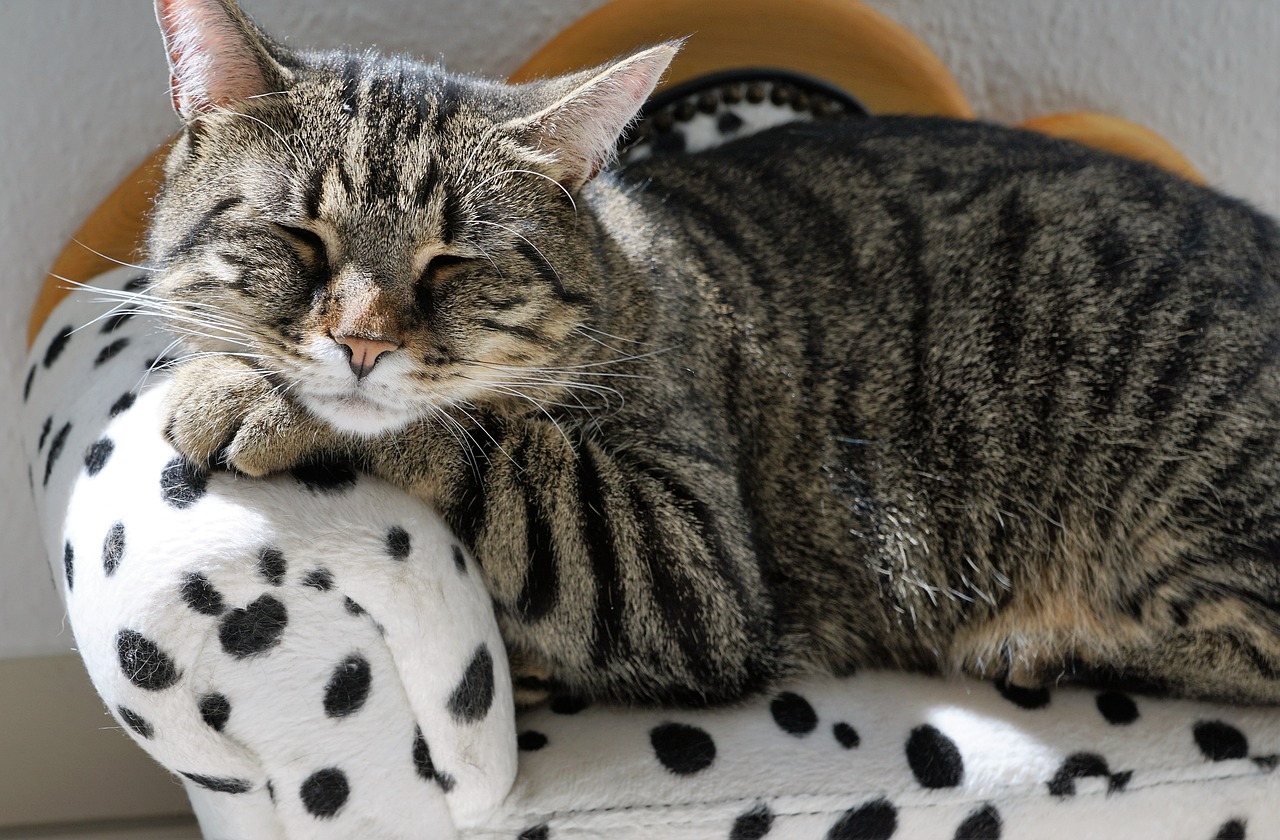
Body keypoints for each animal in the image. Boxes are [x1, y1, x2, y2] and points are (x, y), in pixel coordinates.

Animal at [145, 0, 1280, 706]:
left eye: (454, 263)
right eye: (300, 239)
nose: (363, 339)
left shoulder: (689, 561)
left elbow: (495, 440)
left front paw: (246, 395)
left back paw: (1042, 643)